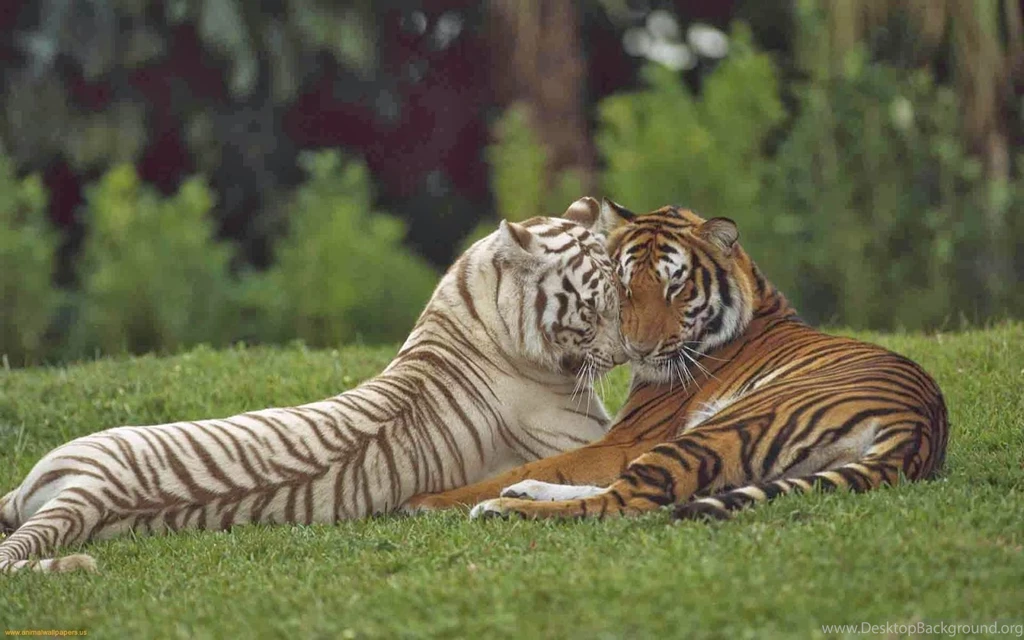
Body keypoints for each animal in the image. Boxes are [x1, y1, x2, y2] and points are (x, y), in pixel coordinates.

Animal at [0, 197, 627, 573]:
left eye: (624, 295)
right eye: (593, 308)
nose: (629, 353)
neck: (475, 305)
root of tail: (91, 490)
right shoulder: (586, 437)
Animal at [404, 201, 949, 521]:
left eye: (676, 287)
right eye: (624, 285)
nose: (638, 349)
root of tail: (919, 427)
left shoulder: (629, 440)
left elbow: (547, 464)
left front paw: (430, 500)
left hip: (720, 429)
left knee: (625, 500)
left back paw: (499, 507)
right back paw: (518, 496)